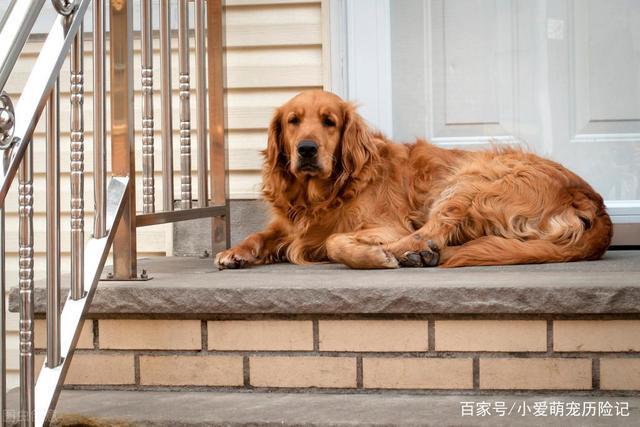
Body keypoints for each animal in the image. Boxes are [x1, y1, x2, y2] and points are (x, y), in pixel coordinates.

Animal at [215, 90, 608, 270]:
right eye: (293, 121)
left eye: (329, 122)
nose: (307, 150)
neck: (325, 194)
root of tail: (591, 198)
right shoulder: (287, 224)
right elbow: (260, 234)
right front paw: (235, 252)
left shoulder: (386, 225)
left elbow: (334, 240)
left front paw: (374, 254)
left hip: (471, 179)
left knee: (431, 231)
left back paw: (407, 252)